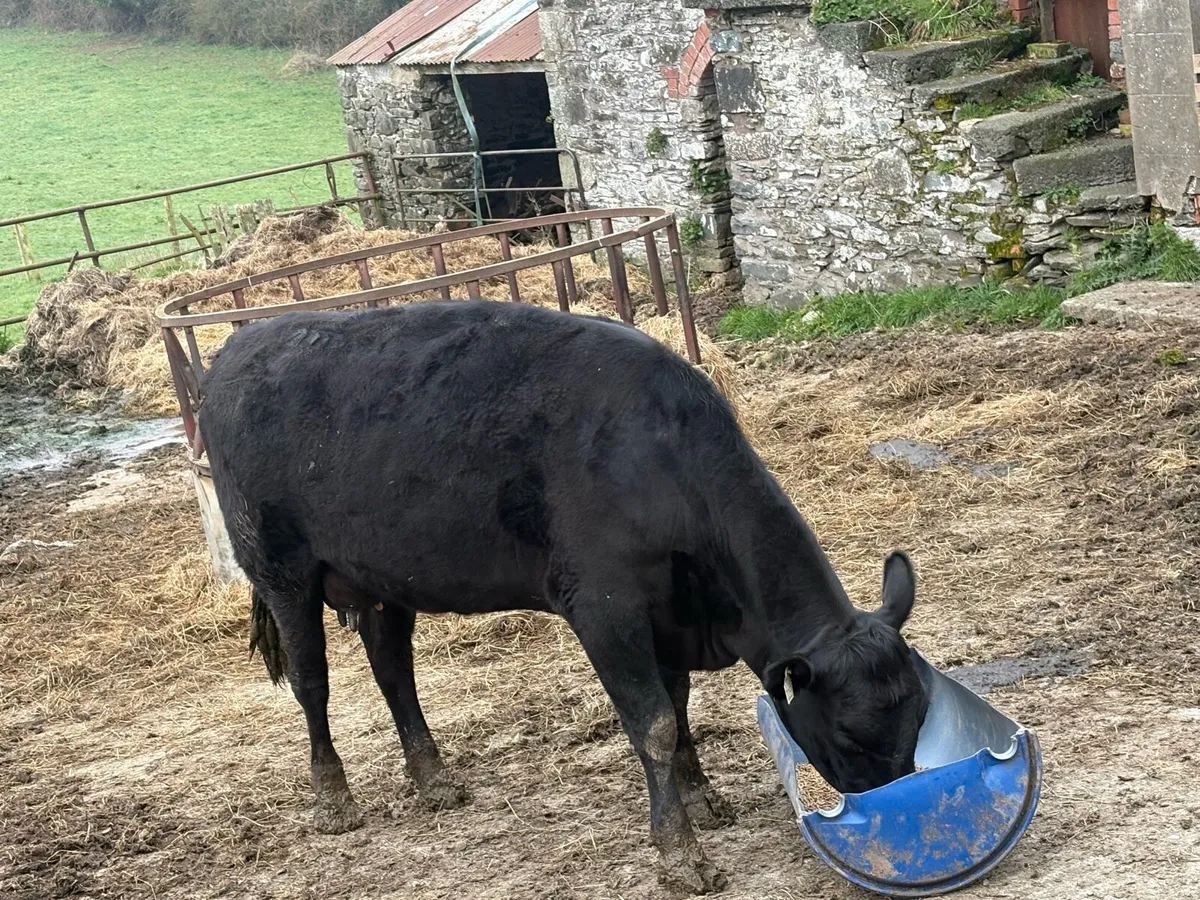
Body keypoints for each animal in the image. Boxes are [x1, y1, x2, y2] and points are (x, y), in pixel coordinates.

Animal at [198, 300, 929, 894]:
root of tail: (244, 342)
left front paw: (700, 798)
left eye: (918, 715)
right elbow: (654, 724)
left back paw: (435, 781)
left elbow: (679, 707)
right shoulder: (605, 606)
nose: (897, 812)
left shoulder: (667, 616)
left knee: (393, 671)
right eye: (849, 731)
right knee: (313, 683)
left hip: (381, 576)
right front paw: (681, 854)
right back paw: (333, 800)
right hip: (281, 568)